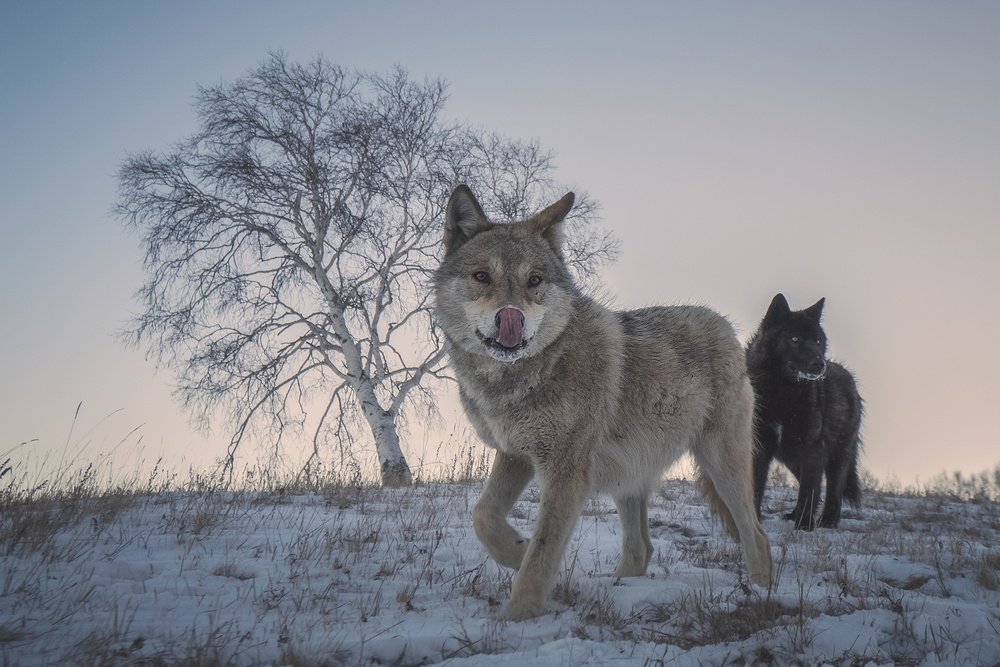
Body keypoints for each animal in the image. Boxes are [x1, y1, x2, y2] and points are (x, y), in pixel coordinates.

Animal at [432, 184, 772, 620]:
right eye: (481, 277)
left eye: (534, 280)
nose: (511, 318)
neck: (522, 378)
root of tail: (726, 325)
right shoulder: (515, 454)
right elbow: (483, 516)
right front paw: (517, 551)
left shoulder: (566, 473)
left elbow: (542, 554)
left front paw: (518, 615)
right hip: (629, 476)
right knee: (642, 548)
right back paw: (620, 587)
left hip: (720, 464)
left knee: (756, 534)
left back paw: (762, 595)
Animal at [748, 294, 864, 528]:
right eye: (794, 339)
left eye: (818, 341)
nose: (819, 364)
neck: (782, 393)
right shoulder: (759, 446)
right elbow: (757, 486)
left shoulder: (812, 446)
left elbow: (809, 489)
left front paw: (804, 526)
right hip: (792, 457)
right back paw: (796, 515)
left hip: (837, 455)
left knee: (833, 489)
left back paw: (828, 521)